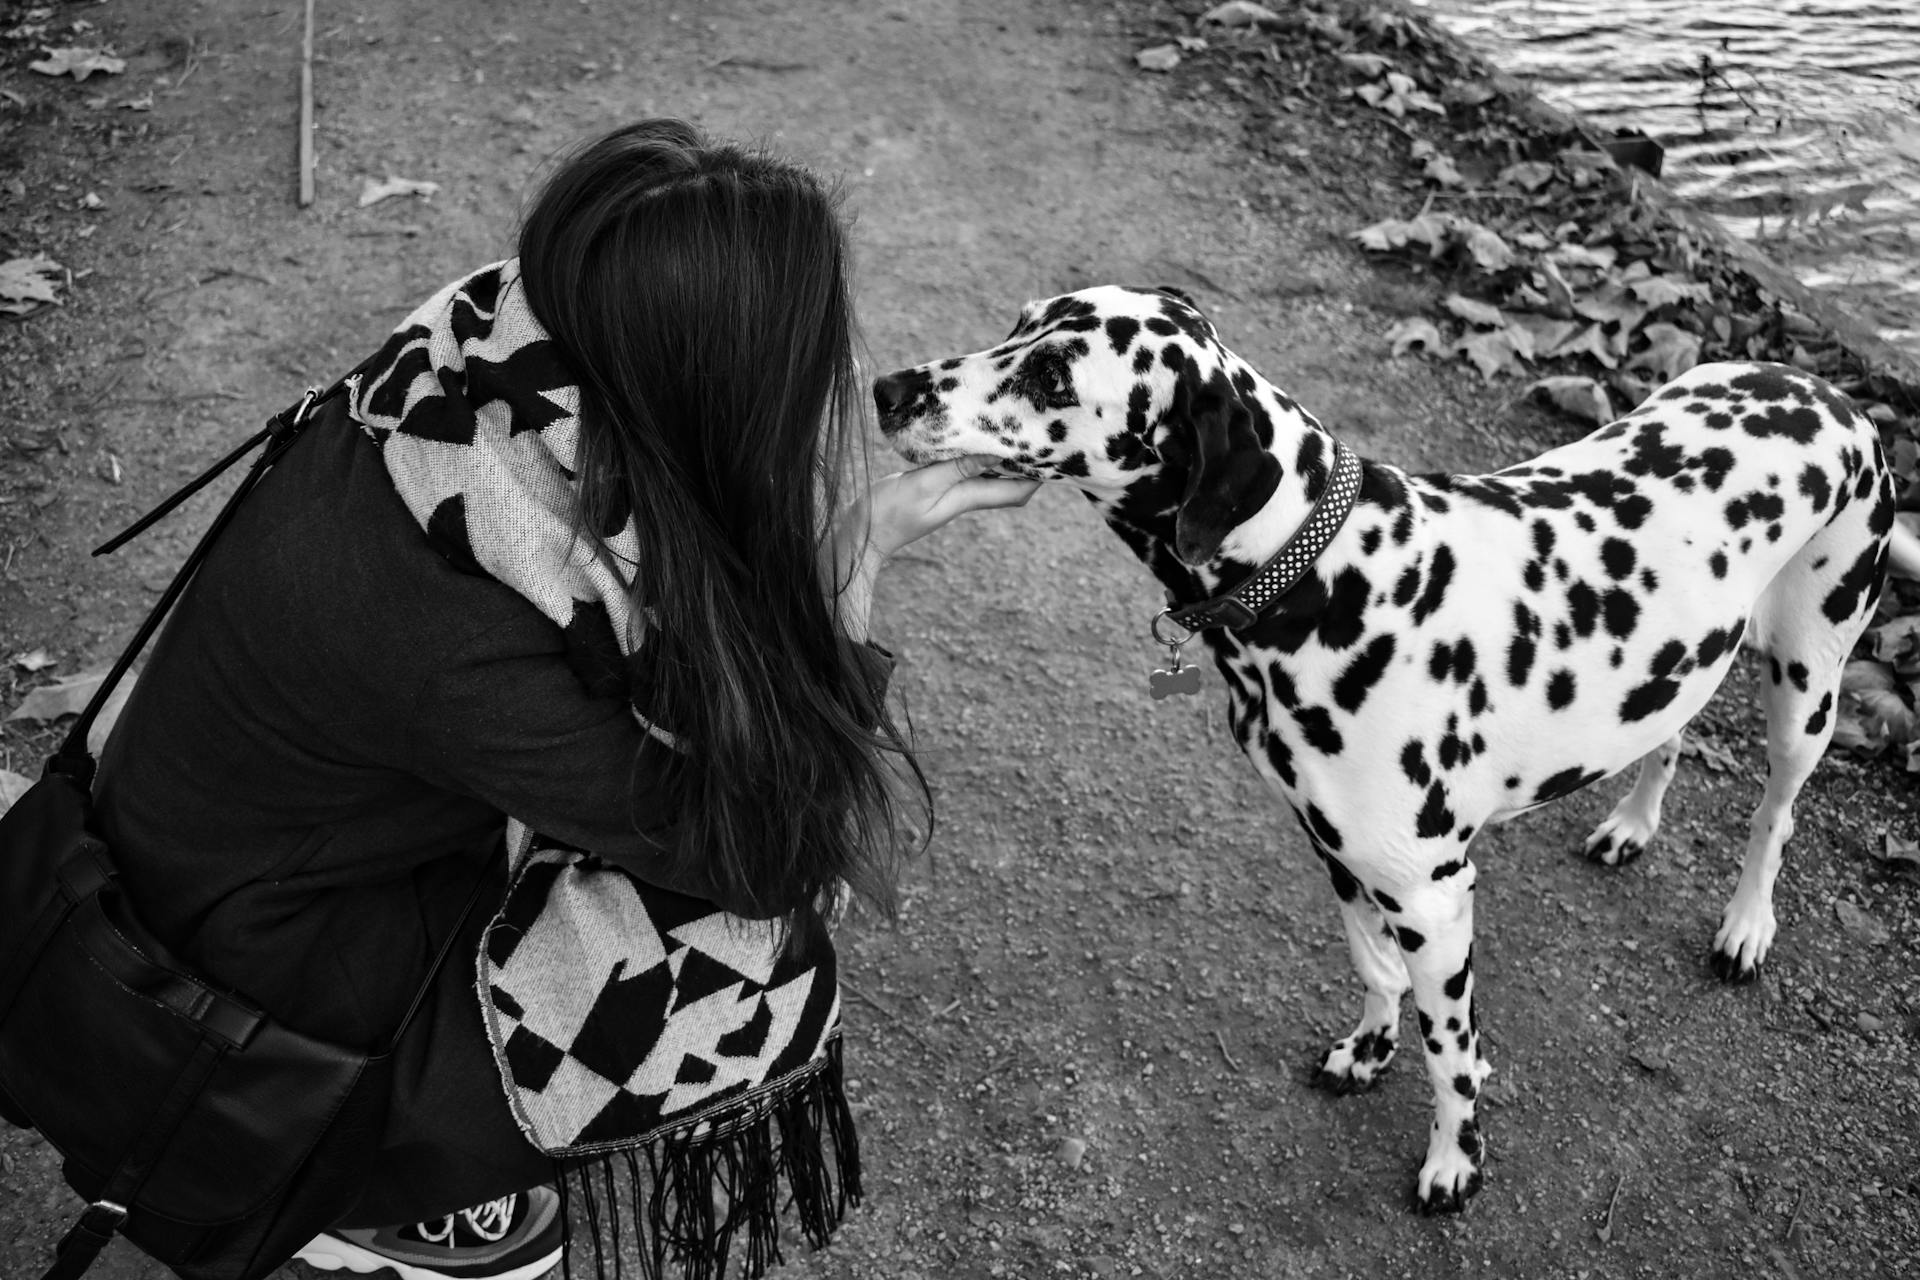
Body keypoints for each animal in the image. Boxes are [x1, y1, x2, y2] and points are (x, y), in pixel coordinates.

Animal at [875, 285, 1920, 1220]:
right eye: (1016, 324)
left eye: (1054, 373)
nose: (887, 388)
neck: (1327, 575)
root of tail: (1830, 393)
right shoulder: (1341, 857)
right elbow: (1376, 972)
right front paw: (1370, 1050)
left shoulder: (1433, 895)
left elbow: (1449, 1048)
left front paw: (1456, 1161)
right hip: (1685, 662)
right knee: (1670, 735)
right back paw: (1630, 824)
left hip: (1806, 683)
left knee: (1774, 815)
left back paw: (1746, 926)